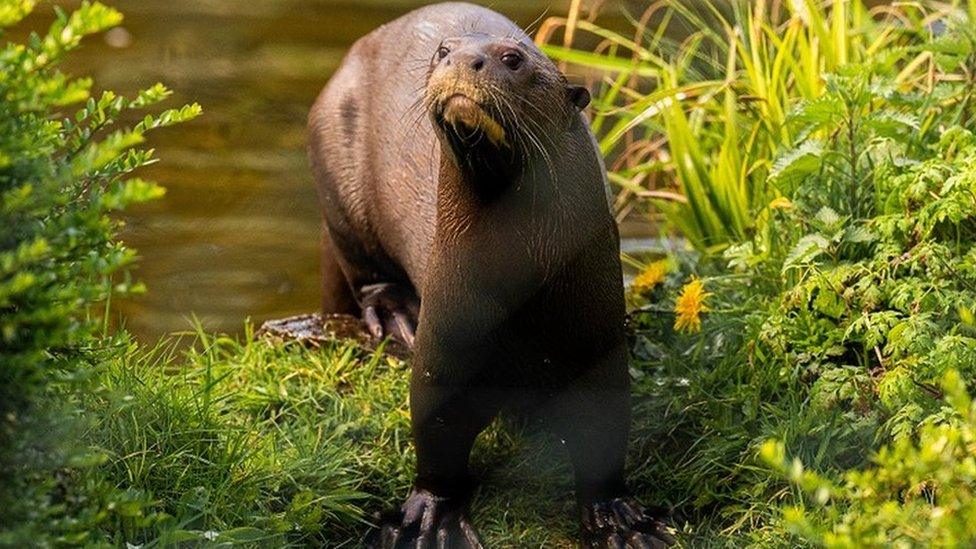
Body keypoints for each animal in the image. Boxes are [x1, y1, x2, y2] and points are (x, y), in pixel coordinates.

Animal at [308, 2, 676, 544]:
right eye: (443, 50)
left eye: (512, 58)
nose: (461, 59)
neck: (514, 286)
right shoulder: (447, 337)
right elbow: (436, 433)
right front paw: (428, 518)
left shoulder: (596, 339)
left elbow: (602, 436)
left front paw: (620, 520)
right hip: (336, 169)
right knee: (364, 270)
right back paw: (397, 317)